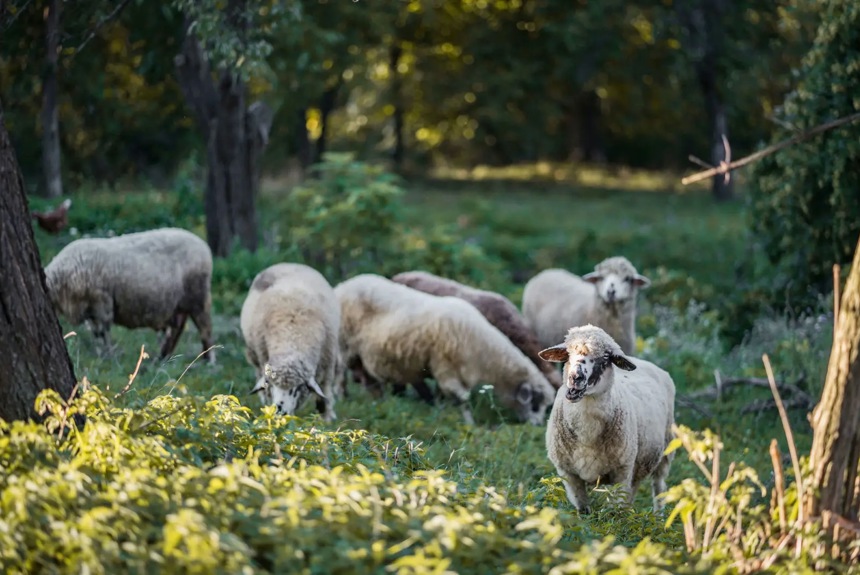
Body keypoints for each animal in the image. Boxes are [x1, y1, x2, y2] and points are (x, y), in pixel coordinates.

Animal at [45, 227, 217, 362]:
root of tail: (203, 246)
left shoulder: (101, 302)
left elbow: (102, 332)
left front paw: (108, 356)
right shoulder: (90, 309)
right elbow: (96, 333)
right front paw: (101, 354)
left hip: (198, 296)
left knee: (205, 328)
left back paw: (209, 360)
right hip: (179, 304)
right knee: (176, 331)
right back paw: (163, 358)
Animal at [240, 264, 340, 420]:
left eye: (298, 388)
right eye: (270, 384)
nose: (280, 412)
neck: (291, 336)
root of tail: (287, 264)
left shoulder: (327, 363)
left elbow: (325, 391)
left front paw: (326, 417)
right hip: (254, 355)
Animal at [332, 274, 556, 428]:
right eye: (535, 405)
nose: (537, 425)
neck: (483, 346)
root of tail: (345, 284)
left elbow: (444, 395)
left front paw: (441, 409)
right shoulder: (445, 368)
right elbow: (461, 399)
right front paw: (468, 423)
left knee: (369, 378)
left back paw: (381, 399)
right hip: (344, 344)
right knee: (342, 374)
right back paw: (344, 396)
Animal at [540, 324, 676, 516]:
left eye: (605, 357)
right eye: (567, 353)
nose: (575, 377)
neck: (587, 433)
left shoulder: (621, 471)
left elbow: (614, 510)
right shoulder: (568, 474)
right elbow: (583, 510)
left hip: (666, 449)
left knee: (659, 487)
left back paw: (659, 516)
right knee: (634, 489)